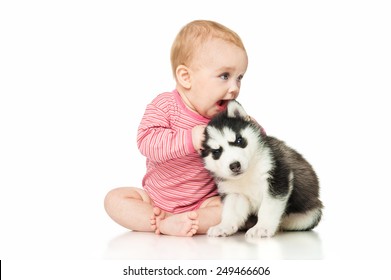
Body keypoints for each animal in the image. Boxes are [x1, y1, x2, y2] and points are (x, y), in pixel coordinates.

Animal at [202, 99, 324, 237]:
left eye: (239, 140)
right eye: (216, 152)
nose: (235, 165)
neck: (248, 174)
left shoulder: (277, 178)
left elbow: (268, 208)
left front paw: (262, 227)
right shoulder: (235, 193)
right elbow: (231, 212)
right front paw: (224, 226)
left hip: (311, 215)